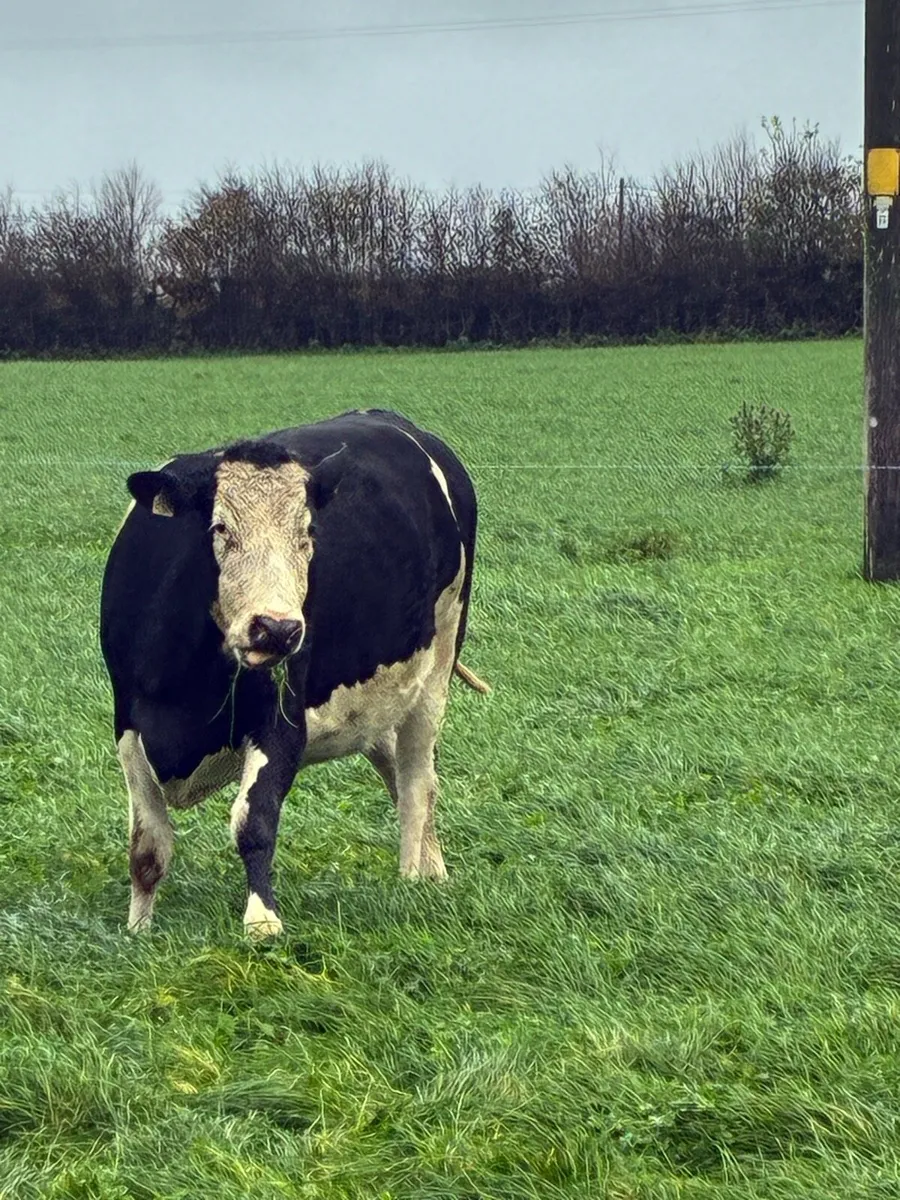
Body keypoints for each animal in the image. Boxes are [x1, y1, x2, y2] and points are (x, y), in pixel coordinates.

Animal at [99, 408, 489, 939]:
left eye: (307, 535)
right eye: (219, 528)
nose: (277, 628)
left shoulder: (282, 721)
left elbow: (254, 820)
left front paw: (262, 921)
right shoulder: (128, 723)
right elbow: (147, 847)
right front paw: (138, 929)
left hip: (437, 664)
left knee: (417, 782)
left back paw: (414, 878)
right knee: (396, 767)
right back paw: (432, 868)